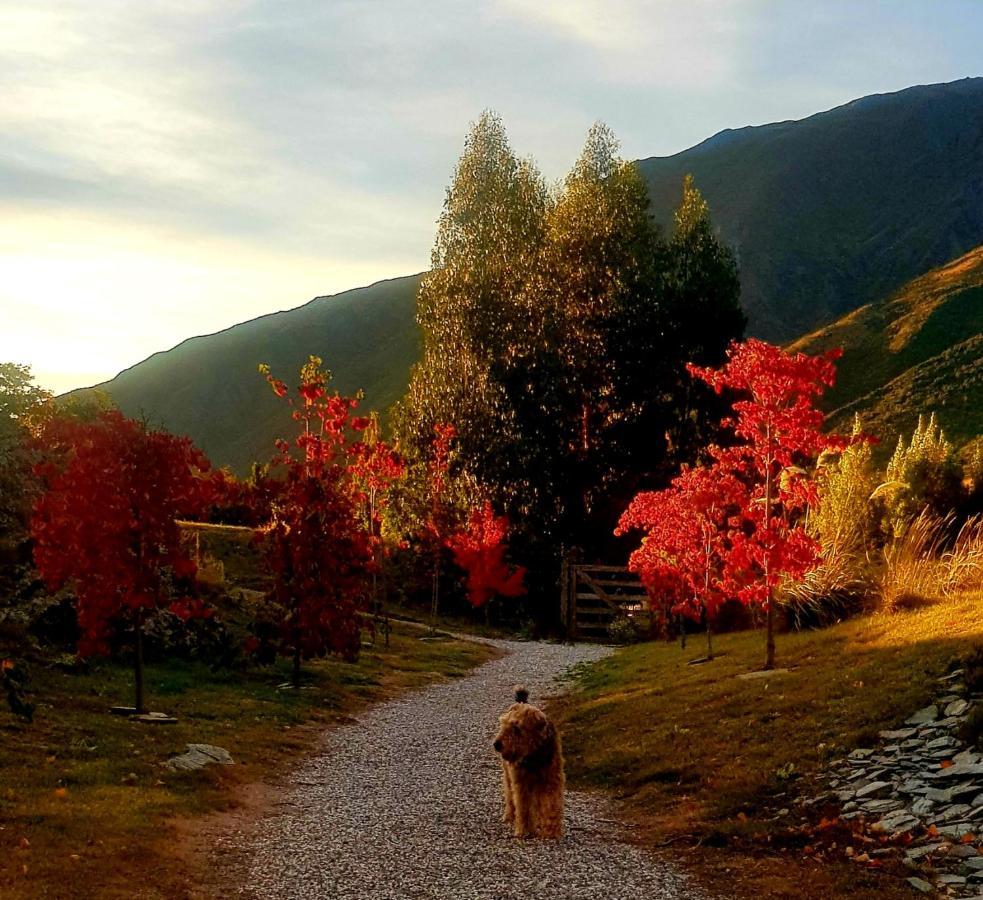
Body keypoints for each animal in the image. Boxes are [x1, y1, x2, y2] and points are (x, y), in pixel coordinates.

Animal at [496, 684, 564, 840]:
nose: (496, 744)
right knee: (510, 797)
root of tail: (522, 702)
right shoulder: (521, 782)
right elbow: (523, 808)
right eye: (502, 724)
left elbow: (551, 805)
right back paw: (509, 816)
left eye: (516, 727)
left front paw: (552, 831)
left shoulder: (551, 780)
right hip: (508, 776)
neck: (534, 755)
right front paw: (525, 831)